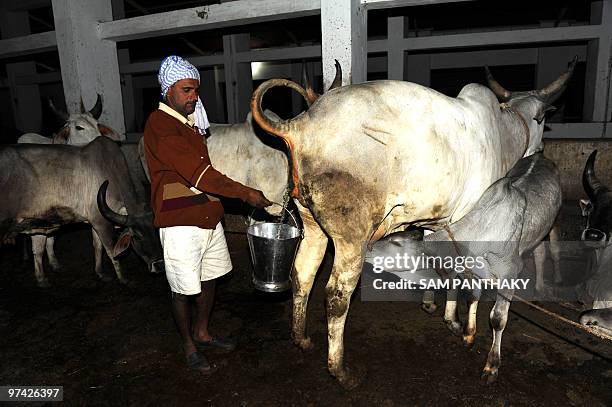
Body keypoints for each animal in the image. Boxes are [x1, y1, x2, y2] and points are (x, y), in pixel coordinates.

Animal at [0, 136, 164, 284]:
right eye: (137, 236)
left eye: (157, 231)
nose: (159, 265)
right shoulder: (102, 222)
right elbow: (111, 250)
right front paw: (122, 278)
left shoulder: (95, 221)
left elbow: (98, 247)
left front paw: (100, 273)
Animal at [251, 58, 576, 388]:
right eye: (540, 119)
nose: (540, 150)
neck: (502, 133)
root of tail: (302, 125)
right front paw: (457, 322)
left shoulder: (438, 222)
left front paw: (434, 304)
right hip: (351, 237)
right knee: (336, 295)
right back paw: (340, 369)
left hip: (312, 225)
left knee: (303, 272)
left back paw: (301, 338)